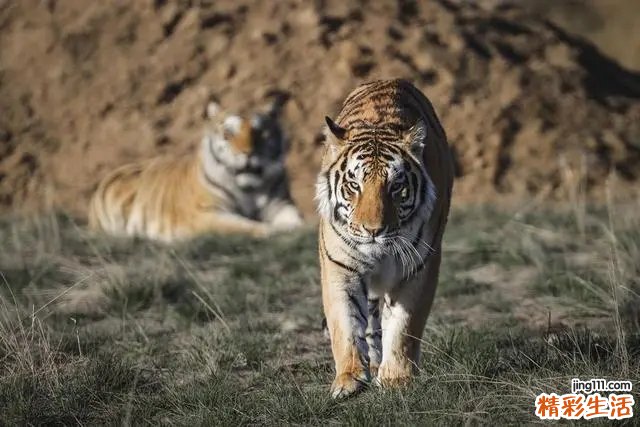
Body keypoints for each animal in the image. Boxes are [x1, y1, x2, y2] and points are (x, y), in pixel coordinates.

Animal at [88, 98, 303, 242]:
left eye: (259, 132)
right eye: (228, 134)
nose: (248, 153)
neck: (248, 189)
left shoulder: (281, 204)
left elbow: (295, 219)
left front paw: (296, 227)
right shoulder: (205, 214)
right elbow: (240, 225)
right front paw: (272, 230)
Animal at [315, 79, 454, 398]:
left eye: (396, 186)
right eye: (354, 185)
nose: (373, 230)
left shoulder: (419, 268)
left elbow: (404, 326)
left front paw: (396, 378)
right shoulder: (340, 269)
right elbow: (345, 325)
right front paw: (349, 379)